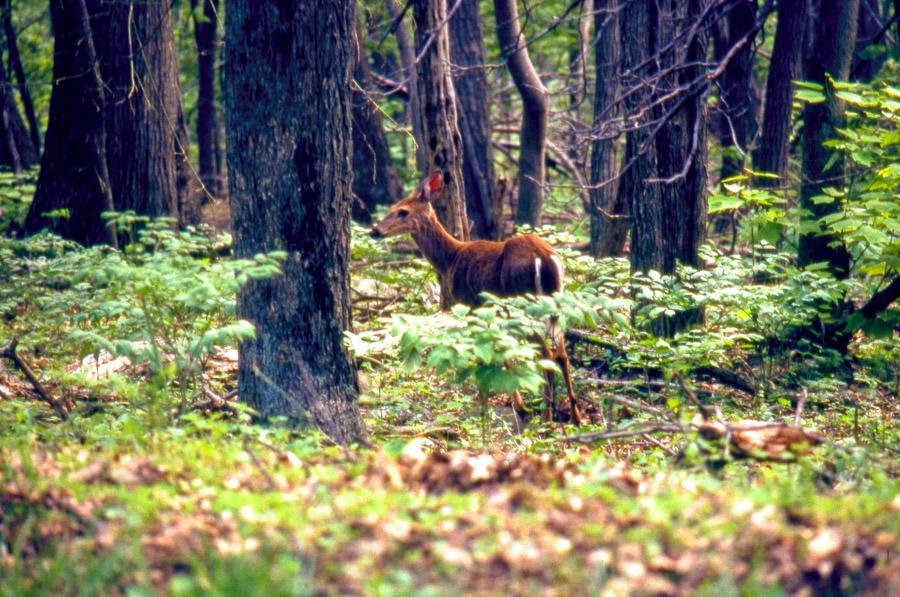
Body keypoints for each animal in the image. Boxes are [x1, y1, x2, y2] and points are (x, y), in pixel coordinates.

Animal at [368, 171, 584, 424]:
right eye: (393, 207)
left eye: (403, 211)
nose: (375, 230)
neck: (450, 259)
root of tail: (546, 257)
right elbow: (502, 353)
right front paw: (516, 404)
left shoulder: (471, 305)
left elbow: (484, 354)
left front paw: (490, 402)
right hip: (554, 304)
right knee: (562, 354)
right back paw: (575, 415)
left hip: (524, 304)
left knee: (548, 353)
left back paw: (548, 414)